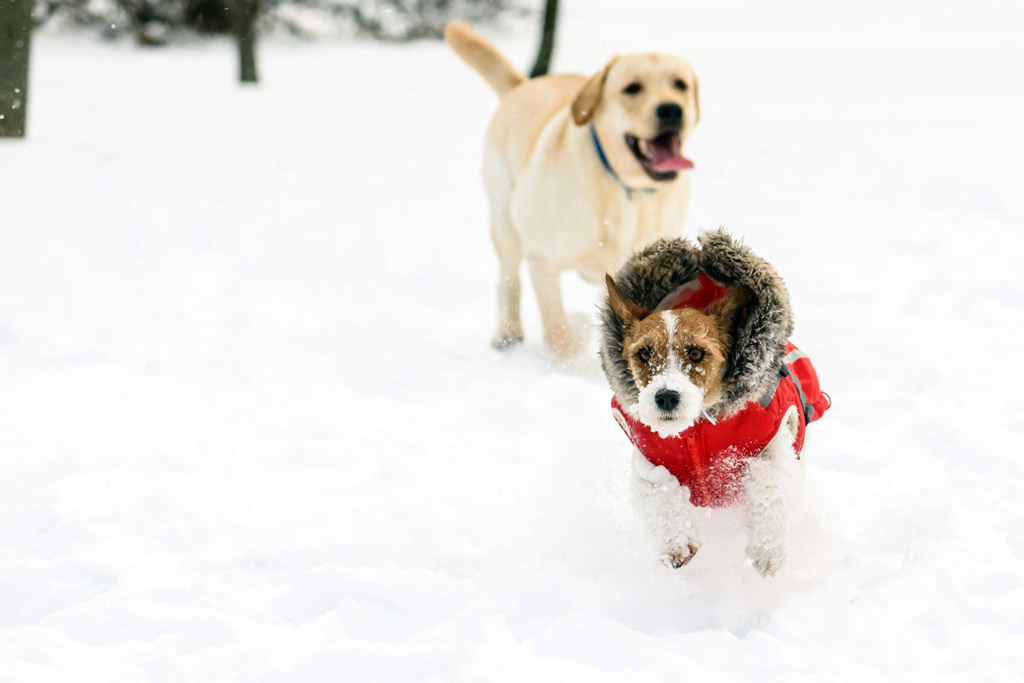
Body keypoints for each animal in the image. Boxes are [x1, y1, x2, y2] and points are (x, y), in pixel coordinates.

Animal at [444, 21, 700, 358]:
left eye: (680, 84)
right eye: (632, 88)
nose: (671, 109)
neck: (624, 189)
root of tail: (523, 85)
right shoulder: (542, 258)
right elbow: (558, 332)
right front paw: (571, 358)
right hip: (504, 219)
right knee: (508, 280)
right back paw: (508, 332)